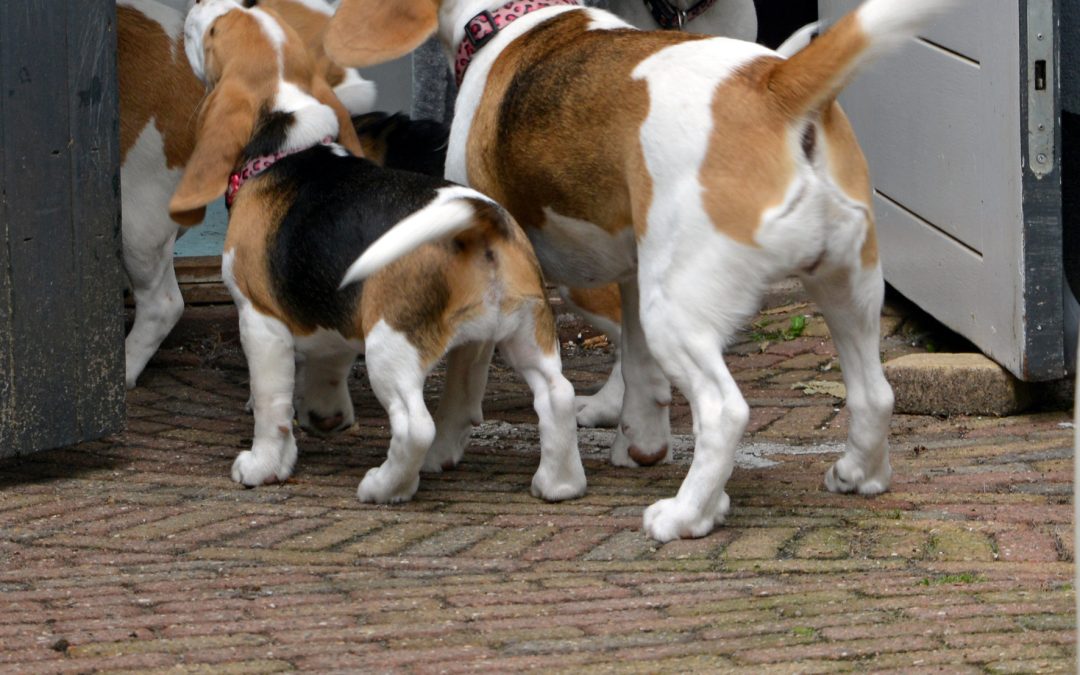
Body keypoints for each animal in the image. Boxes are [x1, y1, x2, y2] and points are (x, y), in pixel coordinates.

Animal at [171, 0, 587, 505]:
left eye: (214, 31)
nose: (197, 5)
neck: (285, 146)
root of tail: (478, 221)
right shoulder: (331, 312)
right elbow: (327, 363)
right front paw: (323, 415)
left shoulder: (259, 319)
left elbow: (271, 403)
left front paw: (264, 465)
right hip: (524, 329)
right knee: (556, 395)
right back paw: (559, 483)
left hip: (392, 343)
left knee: (415, 424)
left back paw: (384, 486)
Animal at [326, 0, 954, 540]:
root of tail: (774, 84)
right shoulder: (630, 271)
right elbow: (639, 372)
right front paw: (642, 444)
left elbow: (461, 381)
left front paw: (438, 454)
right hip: (847, 288)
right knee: (874, 394)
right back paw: (859, 475)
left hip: (674, 308)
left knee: (724, 412)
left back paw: (686, 515)